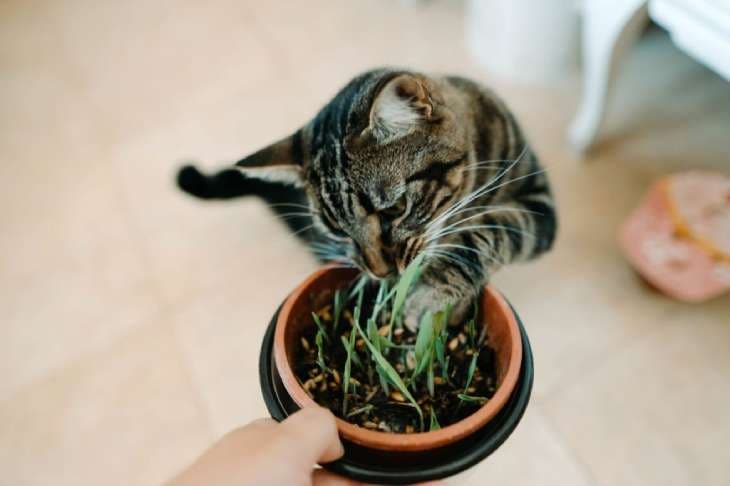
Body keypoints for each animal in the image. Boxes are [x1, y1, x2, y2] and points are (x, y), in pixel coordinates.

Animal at [178, 67, 556, 326]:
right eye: (338, 231)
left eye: (395, 209)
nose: (380, 273)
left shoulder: (540, 204)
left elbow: (486, 232)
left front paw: (430, 294)